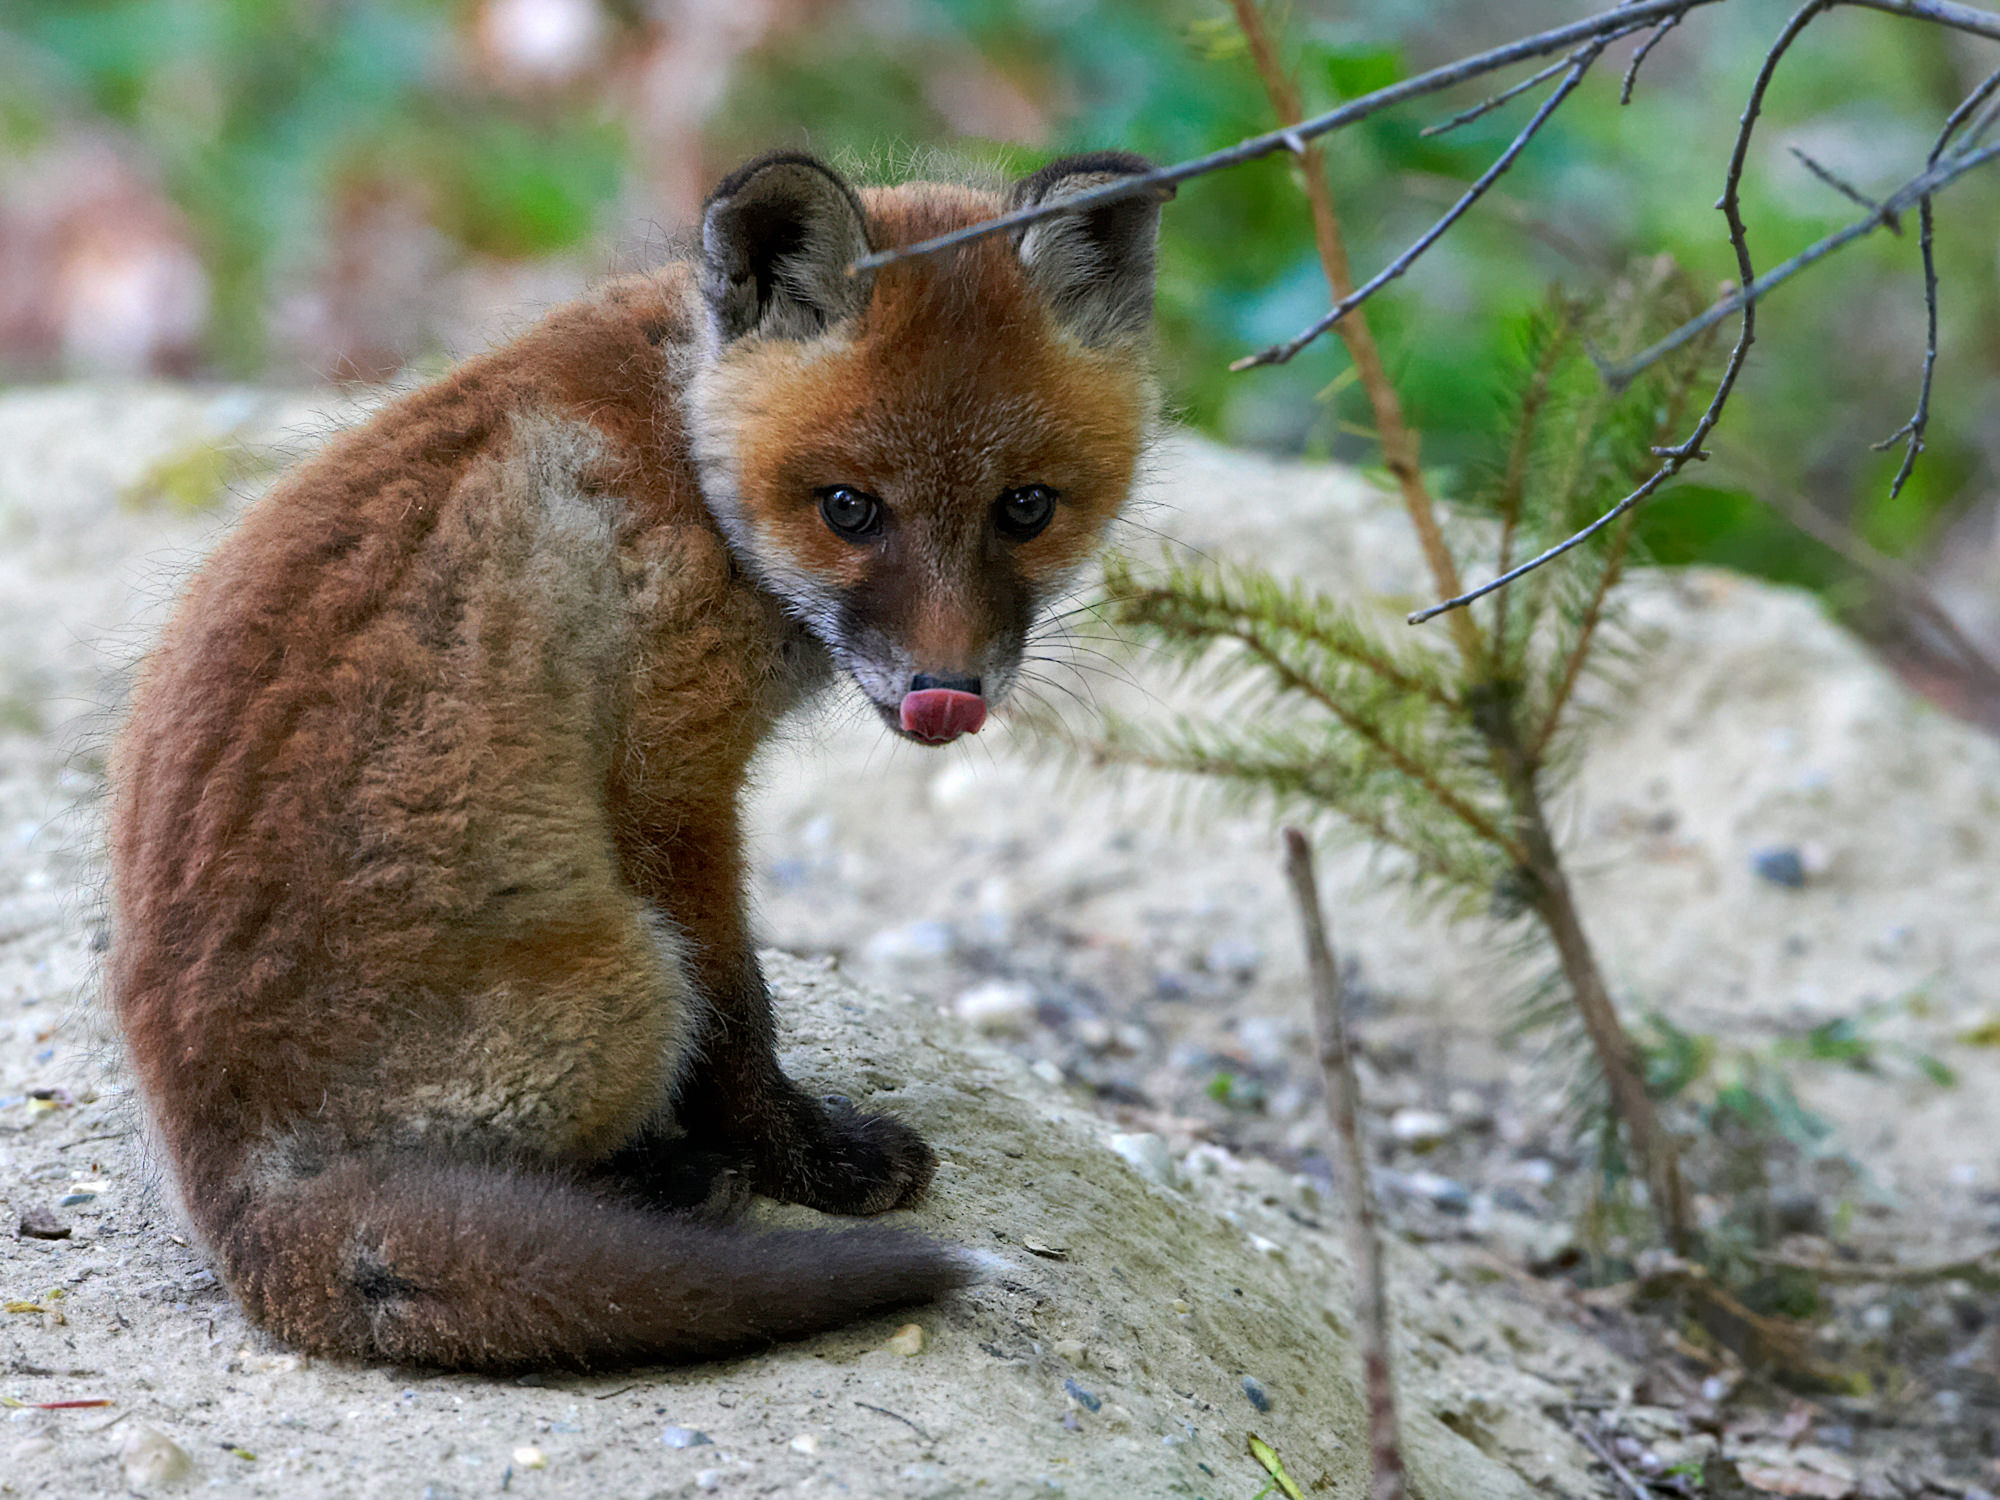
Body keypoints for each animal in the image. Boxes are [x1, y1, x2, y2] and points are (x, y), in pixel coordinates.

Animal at [105, 150, 1168, 1370]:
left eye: (1025, 507)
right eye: (849, 509)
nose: (942, 695)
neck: (683, 449)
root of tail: (232, 1200)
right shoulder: (670, 785)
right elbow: (738, 1022)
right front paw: (804, 1161)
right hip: (626, 973)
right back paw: (665, 1184)